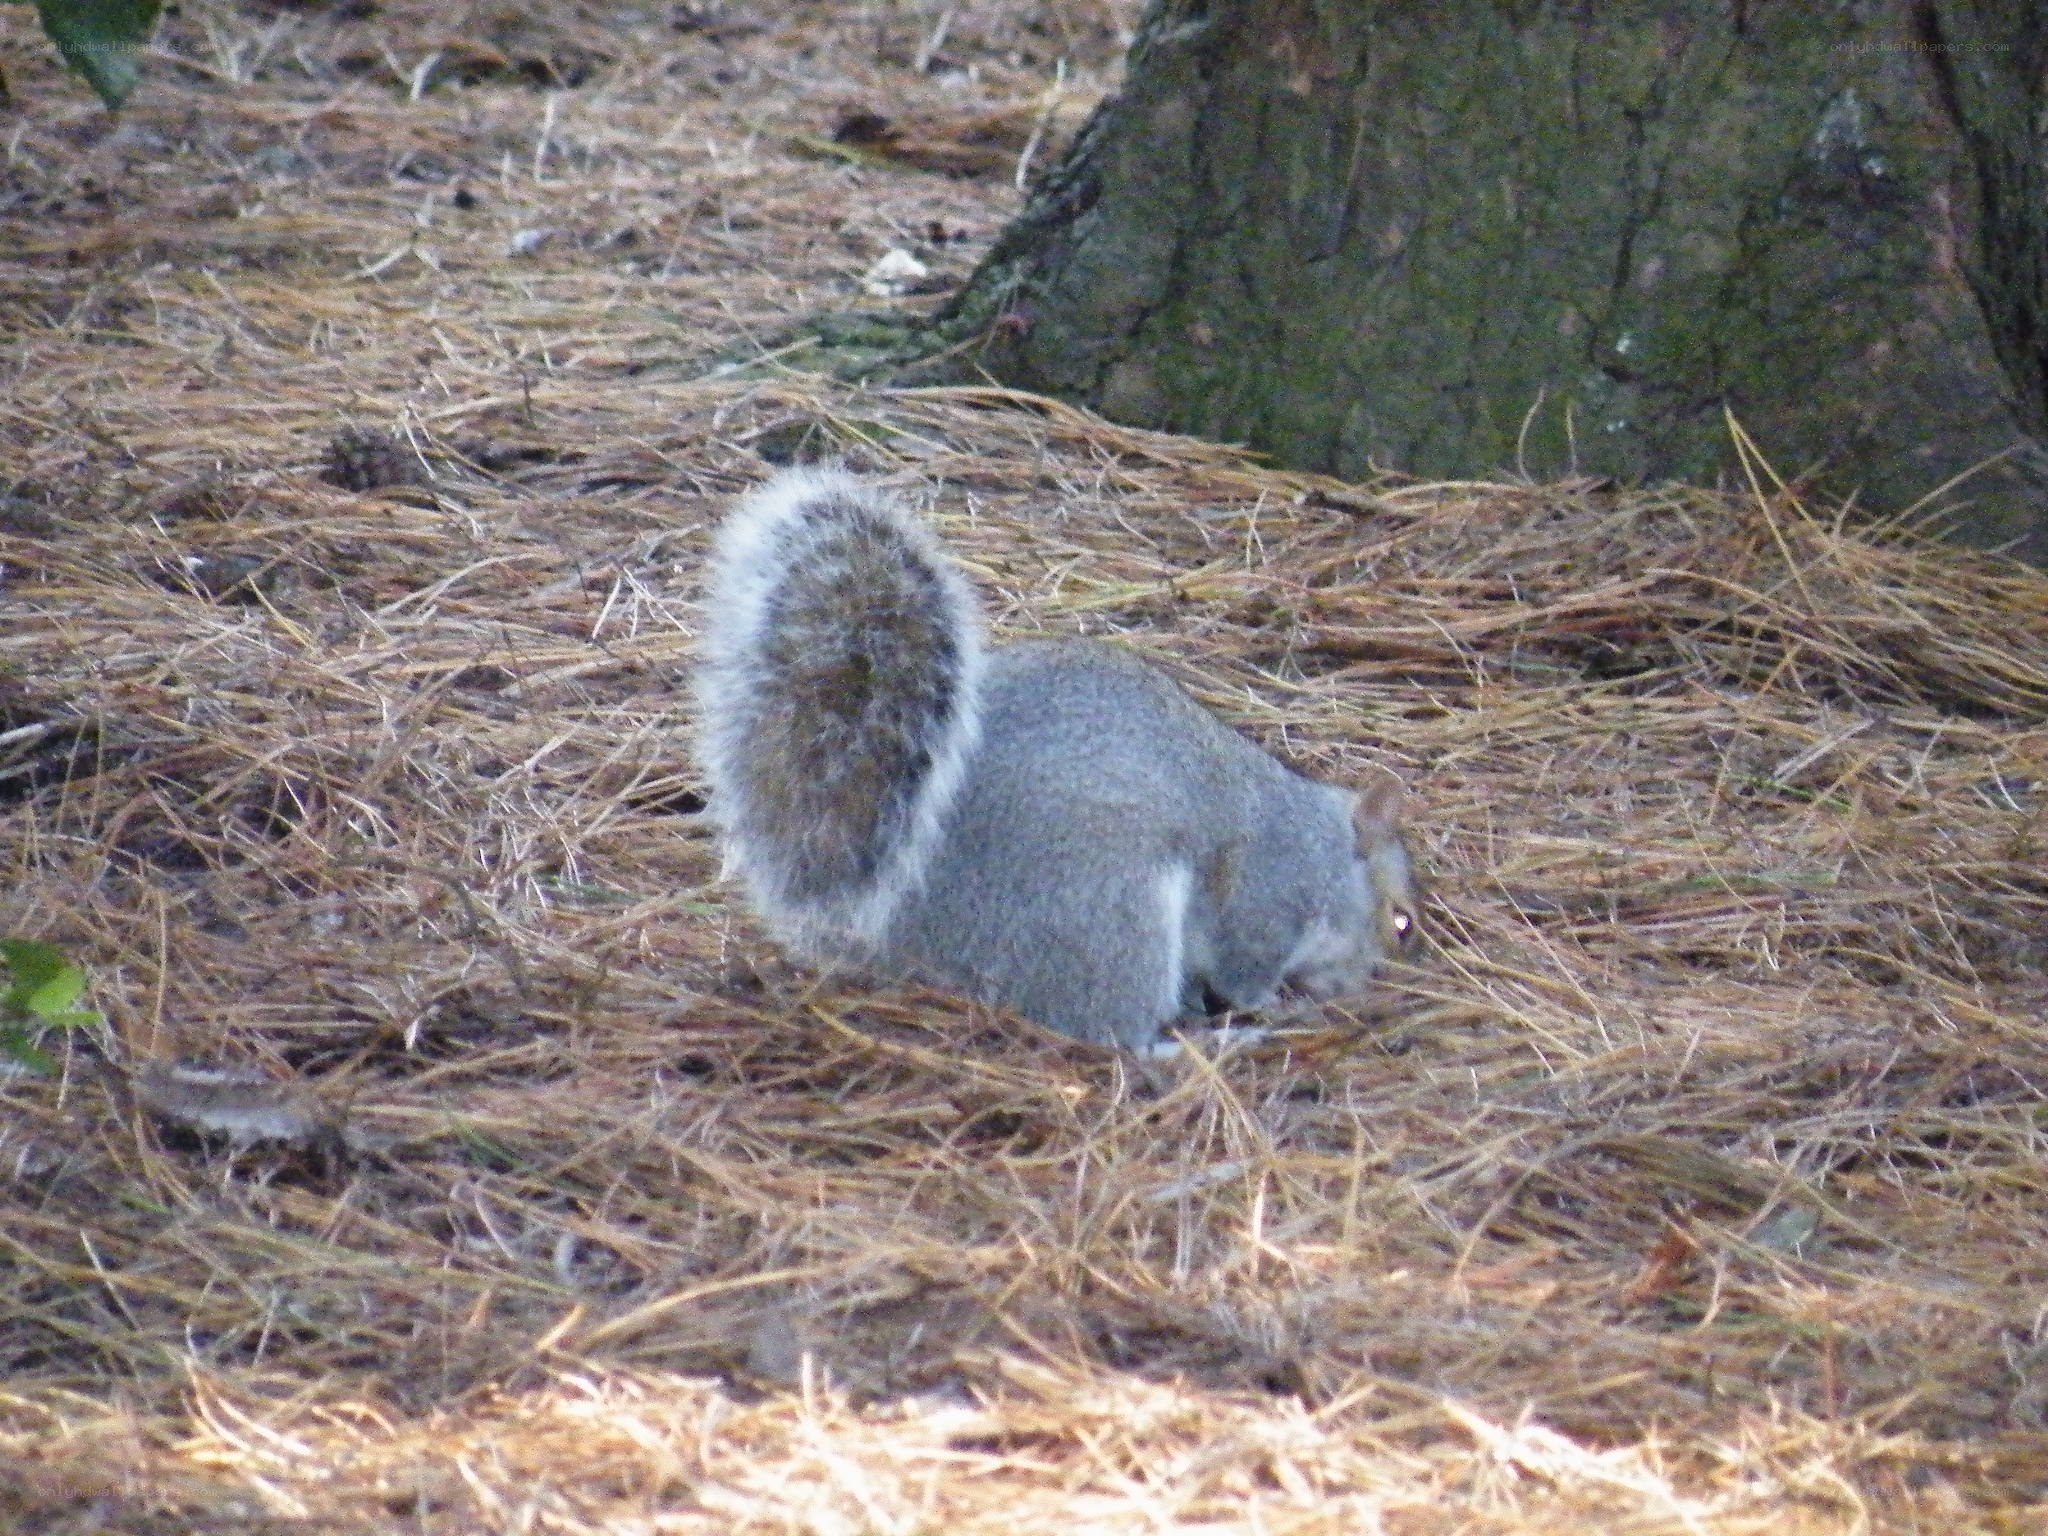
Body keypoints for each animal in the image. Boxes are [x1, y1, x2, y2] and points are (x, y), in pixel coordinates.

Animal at [695, 467, 1420, 1053]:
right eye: (1401, 921)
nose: (1366, 985)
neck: (1321, 842)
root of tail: (903, 932)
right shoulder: (1267, 891)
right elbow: (1245, 969)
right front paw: (1272, 1006)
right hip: (1108, 909)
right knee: (1111, 1031)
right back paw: (1192, 1047)